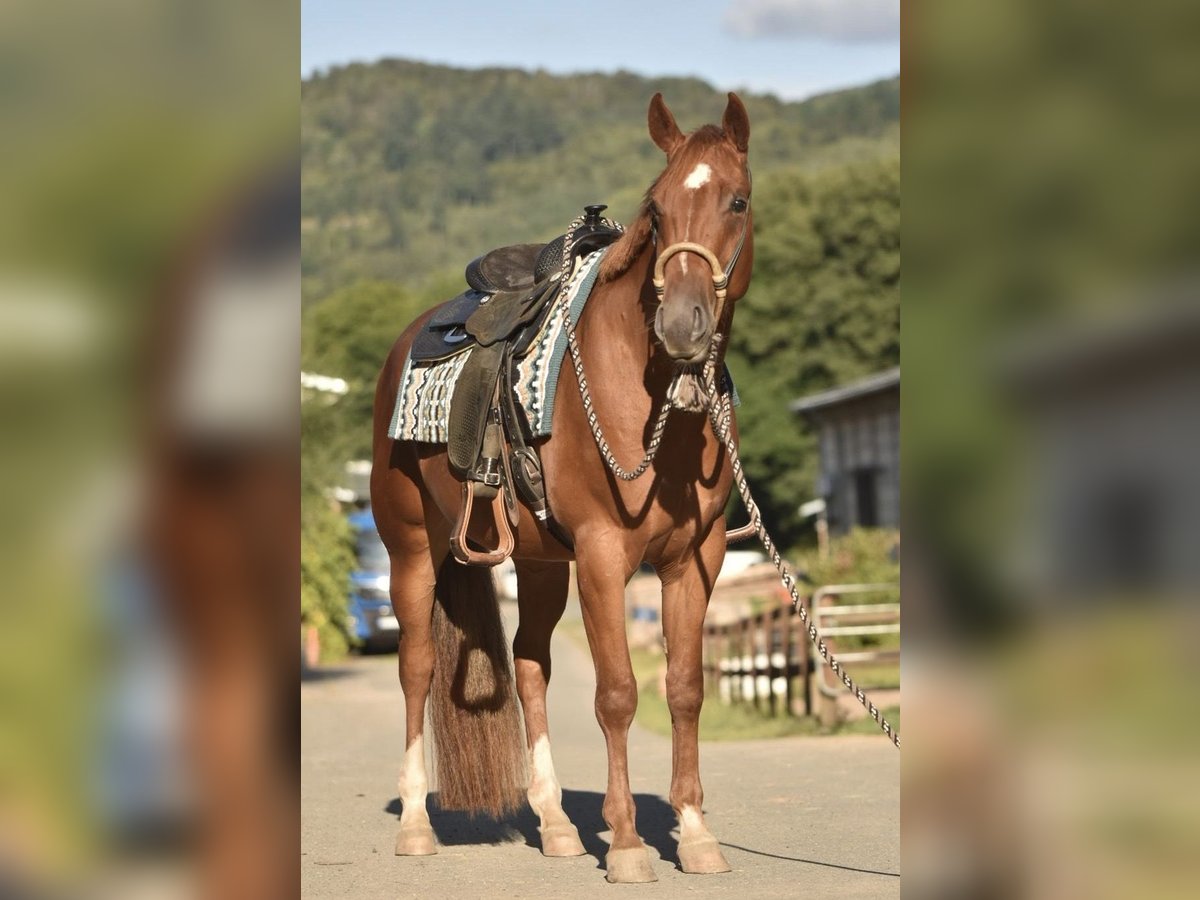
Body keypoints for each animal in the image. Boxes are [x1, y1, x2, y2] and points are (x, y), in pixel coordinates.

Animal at [369, 95, 753, 883]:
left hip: (540, 562)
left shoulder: (695, 560)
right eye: (658, 210)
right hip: (411, 552)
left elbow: (684, 688)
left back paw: (553, 823)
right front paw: (630, 844)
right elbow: (618, 694)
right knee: (417, 669)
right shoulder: (605, 557)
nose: (682, 325)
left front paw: (695, 833)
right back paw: (417, 823)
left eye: (737, 200)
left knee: (529, 666)